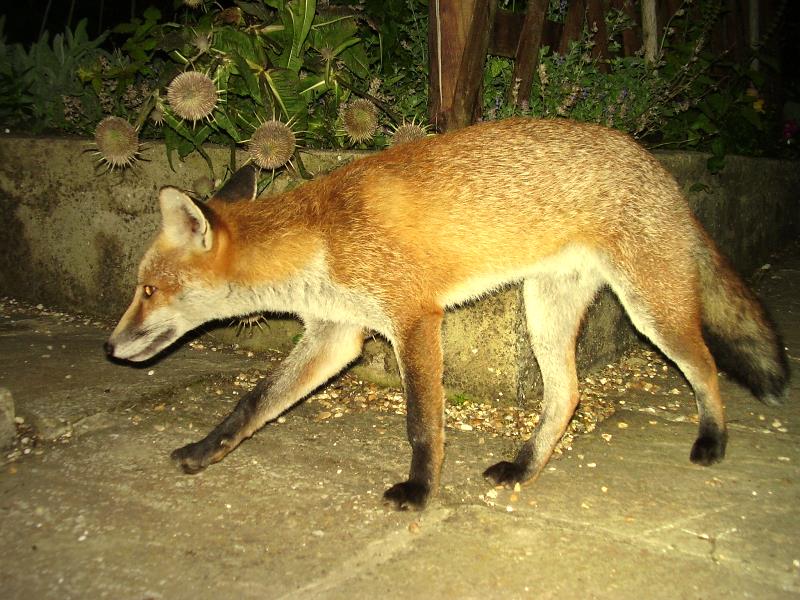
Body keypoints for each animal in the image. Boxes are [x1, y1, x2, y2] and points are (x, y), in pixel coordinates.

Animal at [104, 118, 788, 510]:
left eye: (147, 290)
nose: (110, 348)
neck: (322, 237)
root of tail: (658, 166)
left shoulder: (413, 317)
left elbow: (422, 425)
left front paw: (420, 491)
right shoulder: (337, 334)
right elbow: (251, 403)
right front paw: (204, 451)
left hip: (650, 310)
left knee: (705, 366)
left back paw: (713, 440)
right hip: (544, 310)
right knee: (566, 396)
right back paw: (524, 467)